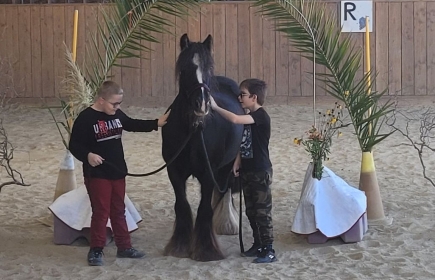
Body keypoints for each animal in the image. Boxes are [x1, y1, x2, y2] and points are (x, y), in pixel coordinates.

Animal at [163, 34, 245, 262]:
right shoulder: (174, 171)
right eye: (184, 69)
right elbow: (182, 206)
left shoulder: (209, 173)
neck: (193, 130)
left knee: (225, 190)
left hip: (226, 166)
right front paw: (180, 246)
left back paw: (226, 224)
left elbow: (204, 209)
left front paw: (206, 250)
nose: (201, 104)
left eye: (208, 68)